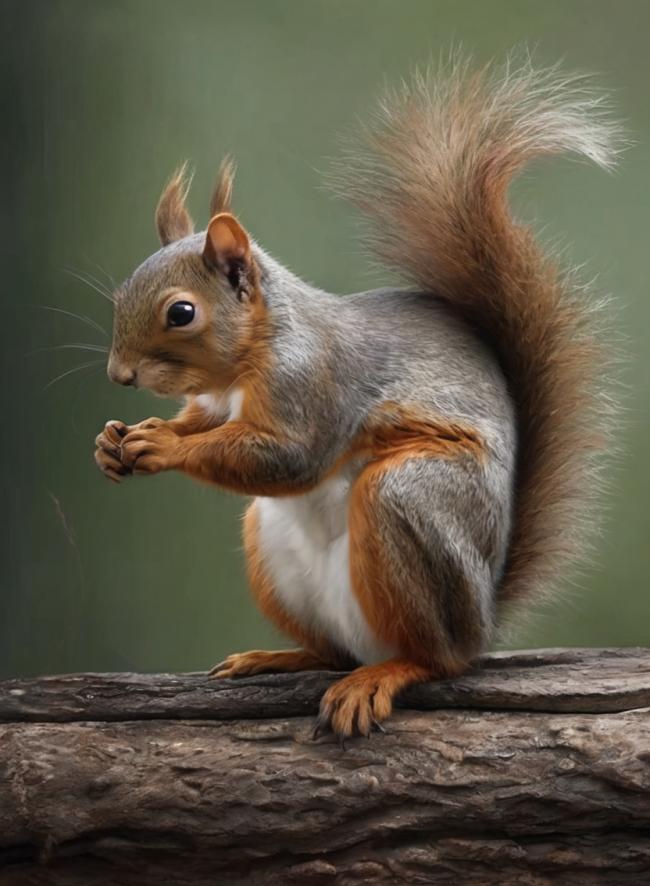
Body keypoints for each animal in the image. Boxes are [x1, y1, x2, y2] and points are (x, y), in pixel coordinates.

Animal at [94, 57, 619, 739]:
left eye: (181, 313)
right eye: (122, 291)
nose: (119, 374)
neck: (250, 361)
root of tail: (482, 621)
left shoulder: (315, 384)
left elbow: (289, 458)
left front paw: (157, 445)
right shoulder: (214, 406)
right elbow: (201, 425)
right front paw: (114, 441)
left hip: (409, 502)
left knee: (435, 659)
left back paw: (383, 675)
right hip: (272, 546)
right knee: (333, 651)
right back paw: (280, 657)